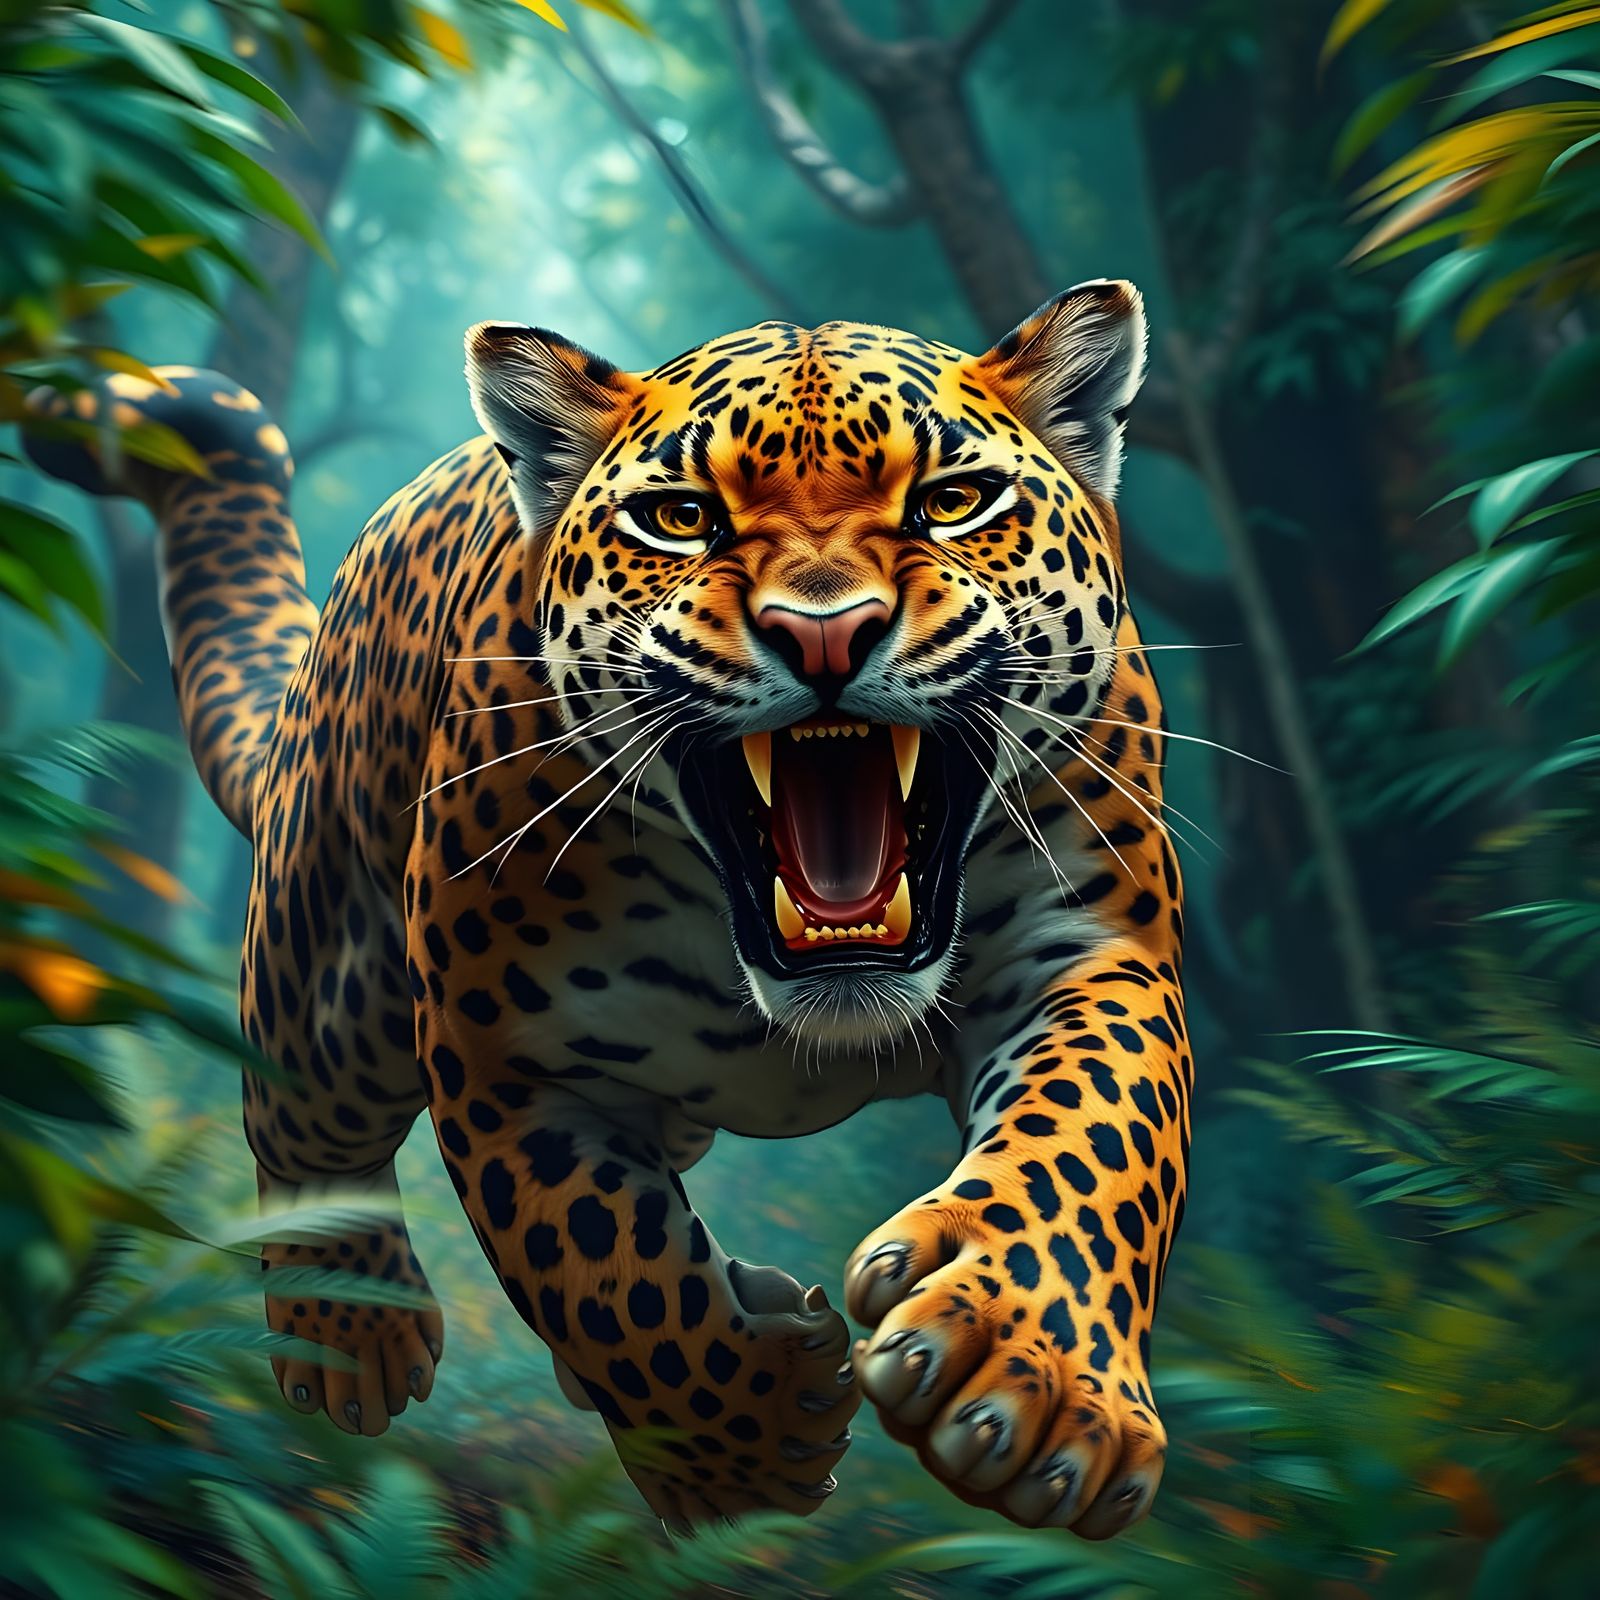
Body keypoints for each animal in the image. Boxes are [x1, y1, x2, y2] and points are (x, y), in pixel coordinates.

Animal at [27, 279, 1189, 1541]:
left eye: (952, 501)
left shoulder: (1092, 947)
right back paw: (351, 1330)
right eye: (680, 518)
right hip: (329, 963)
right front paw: (746, 1450)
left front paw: (1025, 1380)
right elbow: (604, 1271)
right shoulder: (508, 1056)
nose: (824, 631)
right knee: (299, 1120)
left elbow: (1093, 1135)